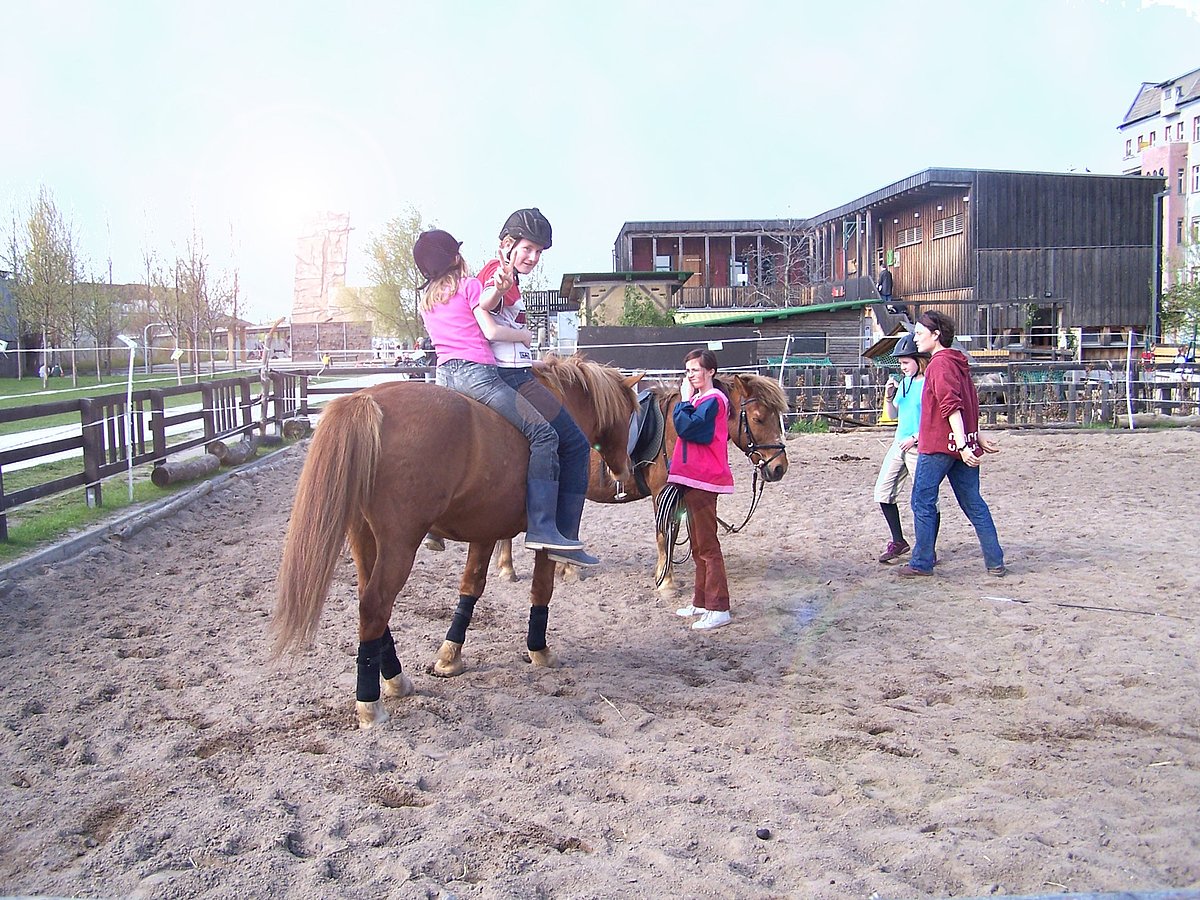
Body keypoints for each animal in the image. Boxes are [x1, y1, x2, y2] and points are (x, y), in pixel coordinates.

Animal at [273, 355, 643, 729]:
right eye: (630, 412)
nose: (624, 469)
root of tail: (366, 400)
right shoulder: (546, 538)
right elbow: (542, 588)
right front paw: (539, 649)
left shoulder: (485, 529)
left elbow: (471, 588)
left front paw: (450, 656)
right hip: (398, 543)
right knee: (375, 605)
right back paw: (370, 703)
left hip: (363, 534)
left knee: (369, 602)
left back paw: (395, 678)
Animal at [492, 374, 792, 600]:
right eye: (758, 418)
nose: (779, 467)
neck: (680, 430)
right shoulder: (662, 493)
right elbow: (663, 535)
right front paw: (666, 583)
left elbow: (677, 533)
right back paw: (509, 569)